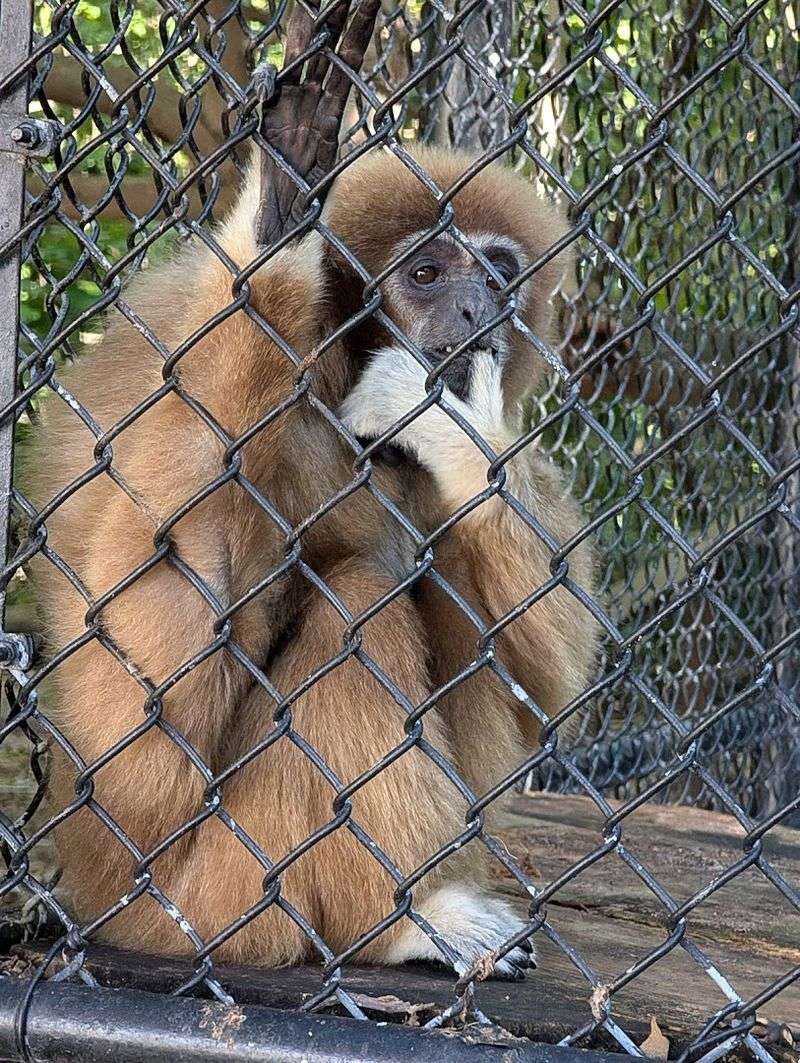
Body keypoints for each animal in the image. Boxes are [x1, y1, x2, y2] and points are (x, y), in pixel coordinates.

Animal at [23, 3, 597, 979]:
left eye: (496, 272)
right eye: (426, 273)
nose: (479, 310)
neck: (333, 385)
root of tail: (98, 900)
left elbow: (546, 679)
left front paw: (462, 430)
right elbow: (143, 725)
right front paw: (281, 206)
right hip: (208, 900)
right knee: (356, 599)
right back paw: (404, 917)